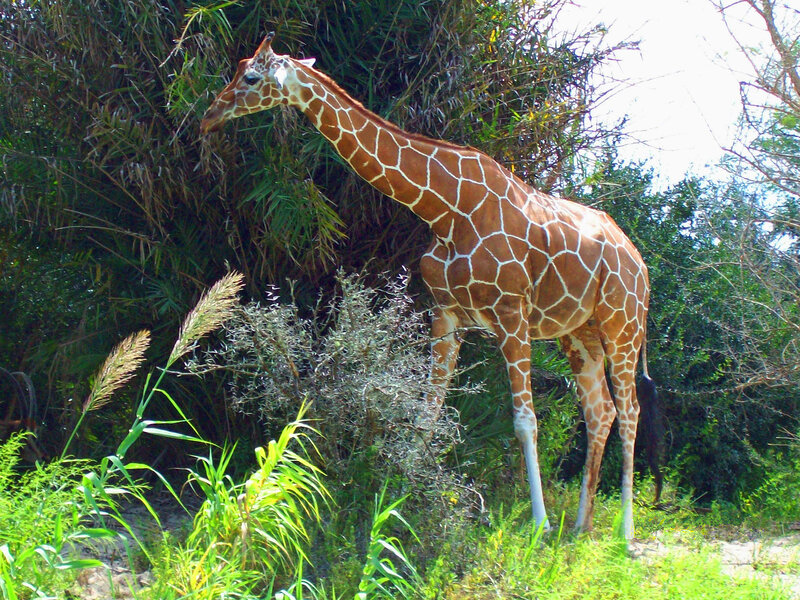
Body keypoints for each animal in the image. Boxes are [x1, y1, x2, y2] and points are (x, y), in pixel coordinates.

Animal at [201, 32, 658, 539]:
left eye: (250, 77)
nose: (208, 116)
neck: (445, 208)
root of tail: (641, 265)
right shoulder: (447, 312)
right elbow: (427, 413)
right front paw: (397, 500)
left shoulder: (511, 315)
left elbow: (525, 421)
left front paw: (538, 525)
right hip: (579, 333)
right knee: (601, 413)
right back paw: (580, 526)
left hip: (622, 325)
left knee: (630, 413)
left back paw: (624, 531)